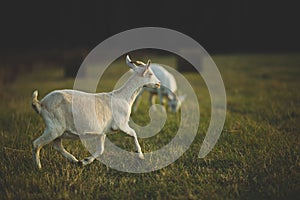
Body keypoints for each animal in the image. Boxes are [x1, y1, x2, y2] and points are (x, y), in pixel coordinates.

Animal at [31, 55, 161, 169]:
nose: (159, 83)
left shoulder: (102, 131)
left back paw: (75, 160)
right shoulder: (121, 124)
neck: (123, 97)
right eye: (150, 73)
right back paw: (38, 167)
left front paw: (85, 161)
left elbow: (101, 150)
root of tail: (41, 104)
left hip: (58, 130)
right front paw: (141, 156)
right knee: (36, 144)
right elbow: (134, 133)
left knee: (57, 145)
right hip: (54, 127)